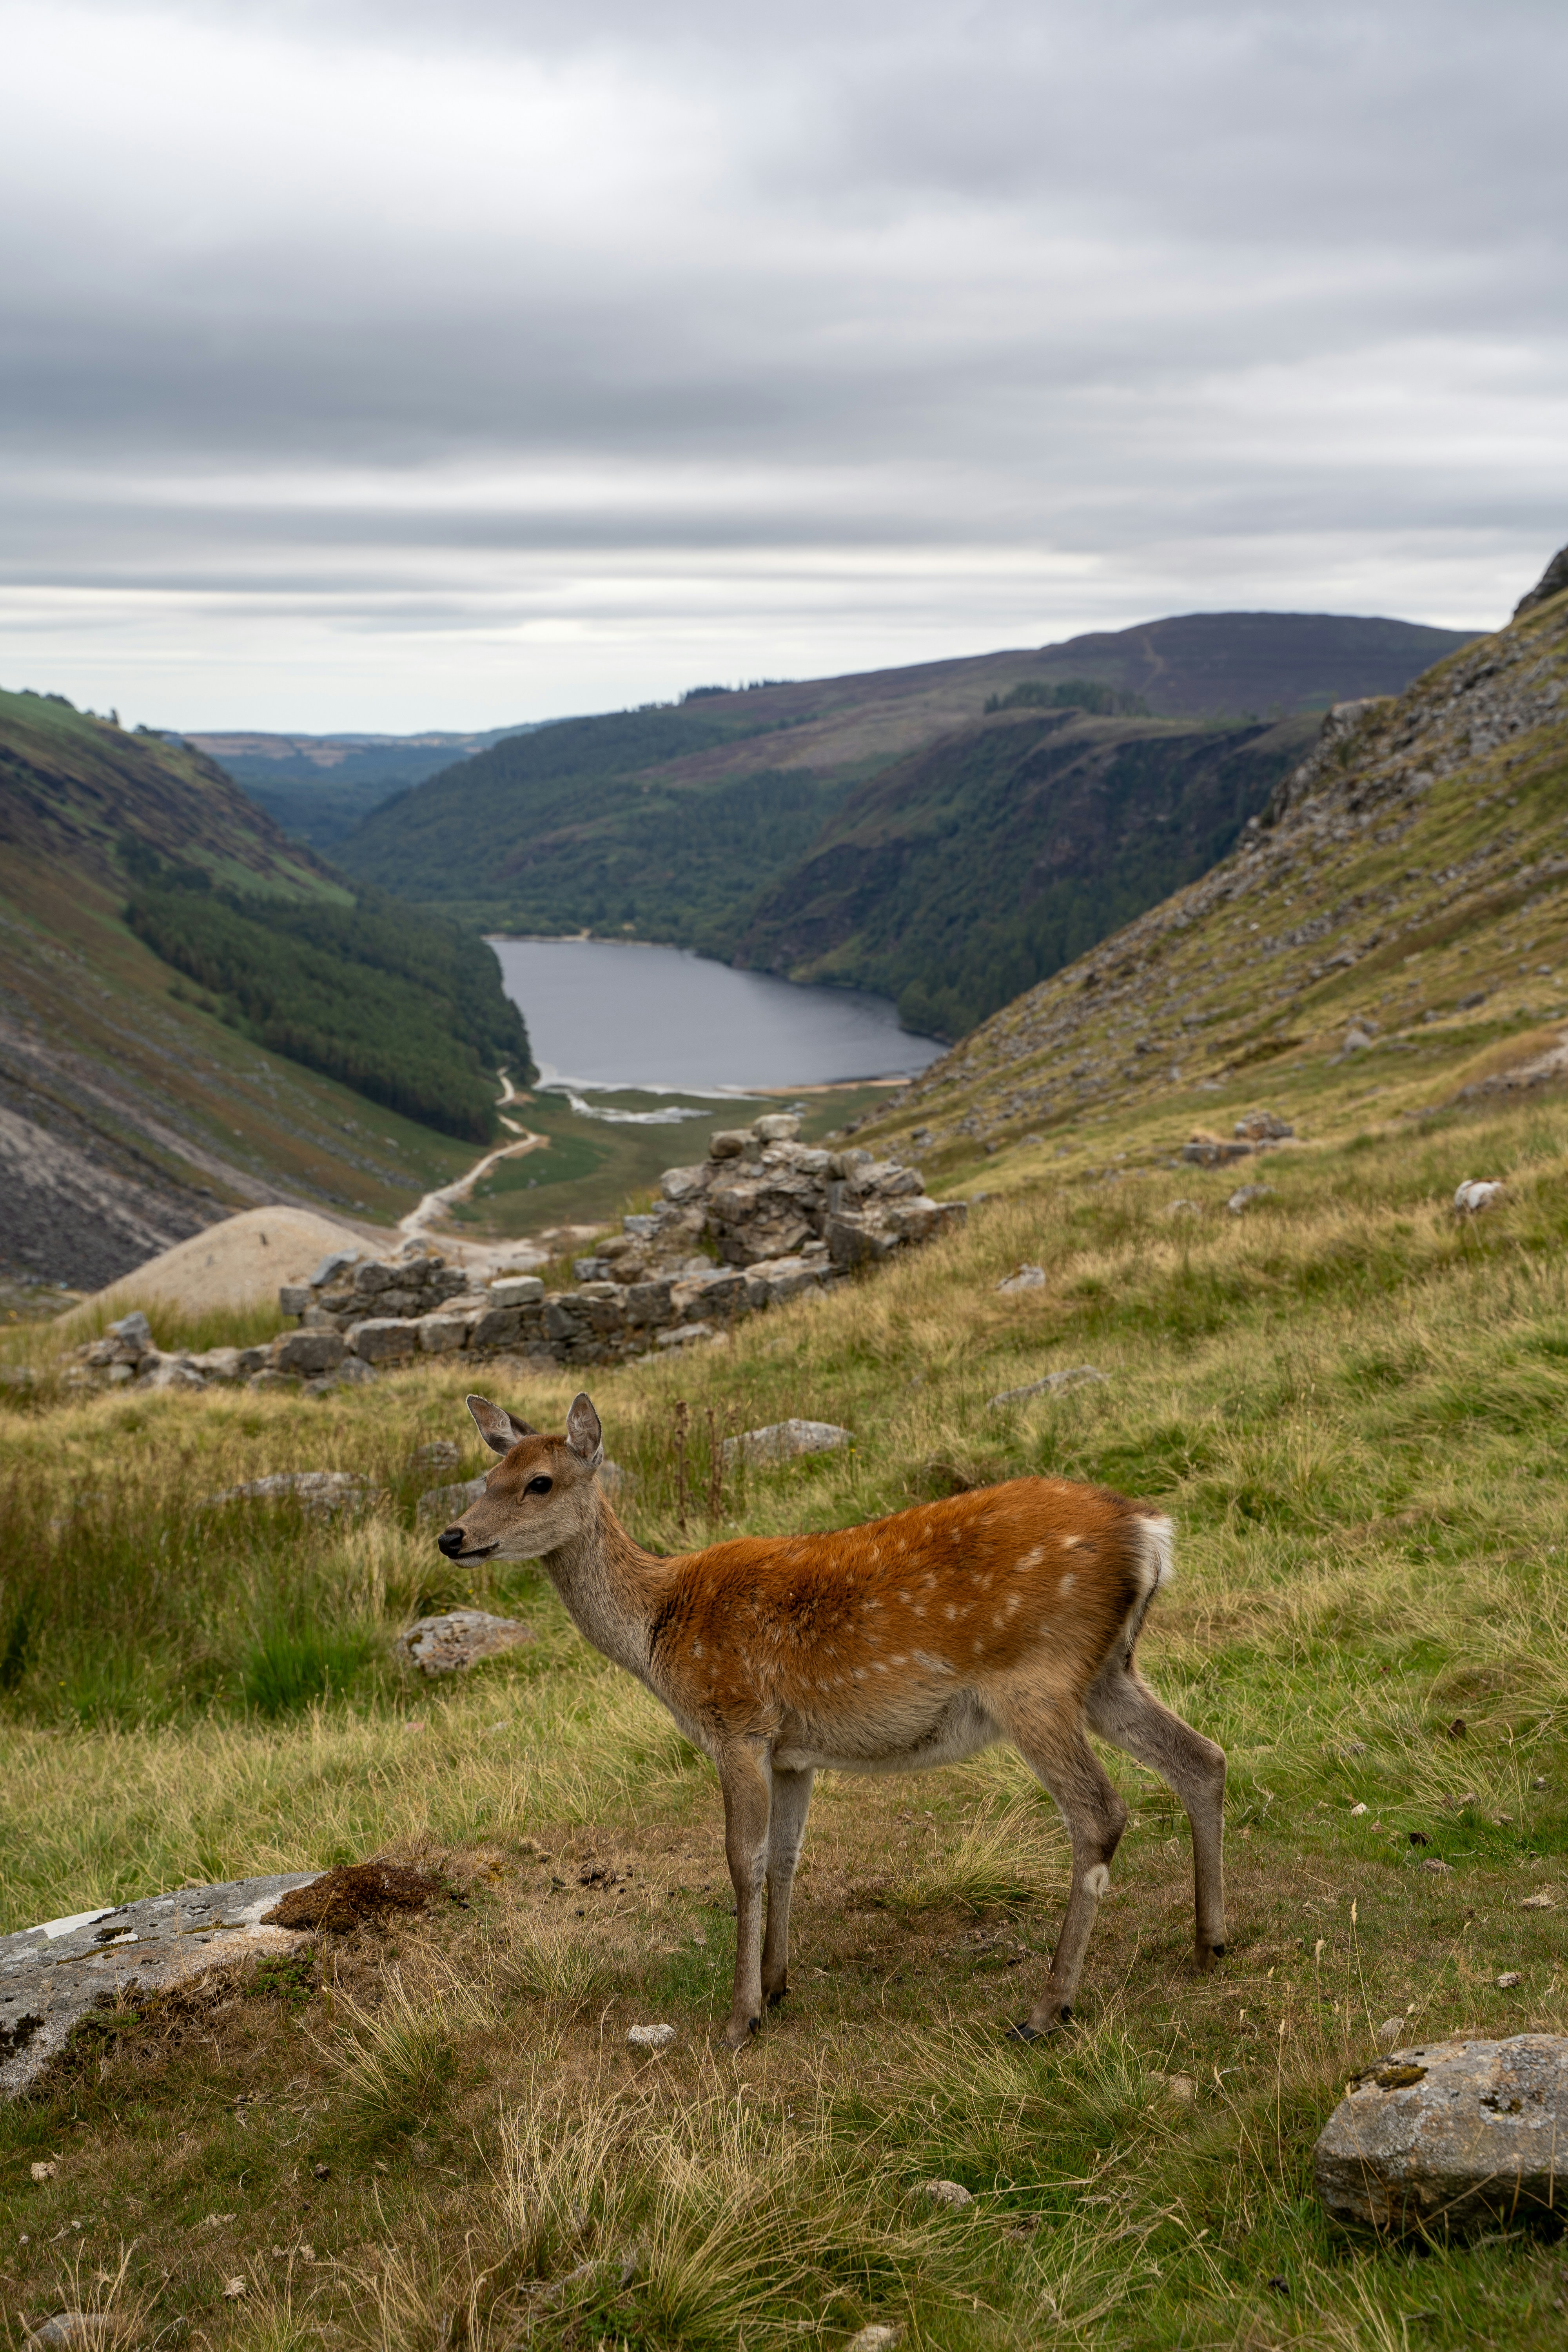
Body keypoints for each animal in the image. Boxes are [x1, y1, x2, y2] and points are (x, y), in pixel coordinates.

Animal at [438, 1390, 1226, 2050]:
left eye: (539, 1481)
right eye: (488, 1476)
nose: (452, 1537)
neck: (658, 1628)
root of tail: (1149, 1532)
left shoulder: (737, 1723)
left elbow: (742, 1861)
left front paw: (739, 2019)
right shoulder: (794, 1752)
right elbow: (787, 1856)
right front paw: (777, 1985)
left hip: (1033, 1675)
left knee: (1100, 1810)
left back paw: (1046, 2009)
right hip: (1107, 1671)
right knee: (1203, 1758)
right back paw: (1210, 1943)